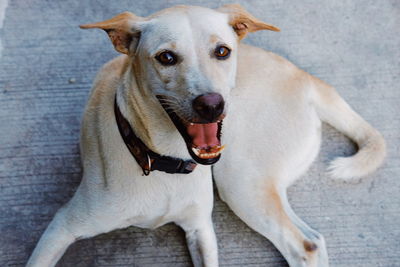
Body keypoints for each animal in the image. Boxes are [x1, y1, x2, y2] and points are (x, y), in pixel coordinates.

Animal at [25, 4, 388, 267]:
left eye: (223, 52)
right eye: (166, 57)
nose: (212, 105)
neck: (163, 160)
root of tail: (309, 79)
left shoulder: (201, 229)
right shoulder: (62, 226)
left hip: (240, 180)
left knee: (304, 245)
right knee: (312, 242)